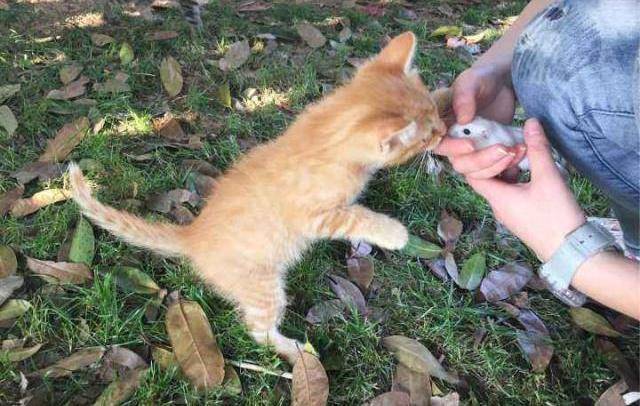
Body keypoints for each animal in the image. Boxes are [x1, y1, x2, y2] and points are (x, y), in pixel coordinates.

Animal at [69, 31, 444, 362]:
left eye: (436, 119)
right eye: (425, 139)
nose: (442, 133)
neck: (324, 135)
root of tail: (193, 236)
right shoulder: (316, 215)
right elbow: (355, 216)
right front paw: (394, 234)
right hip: (264, 286)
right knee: (258, 331)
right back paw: (298, 352)